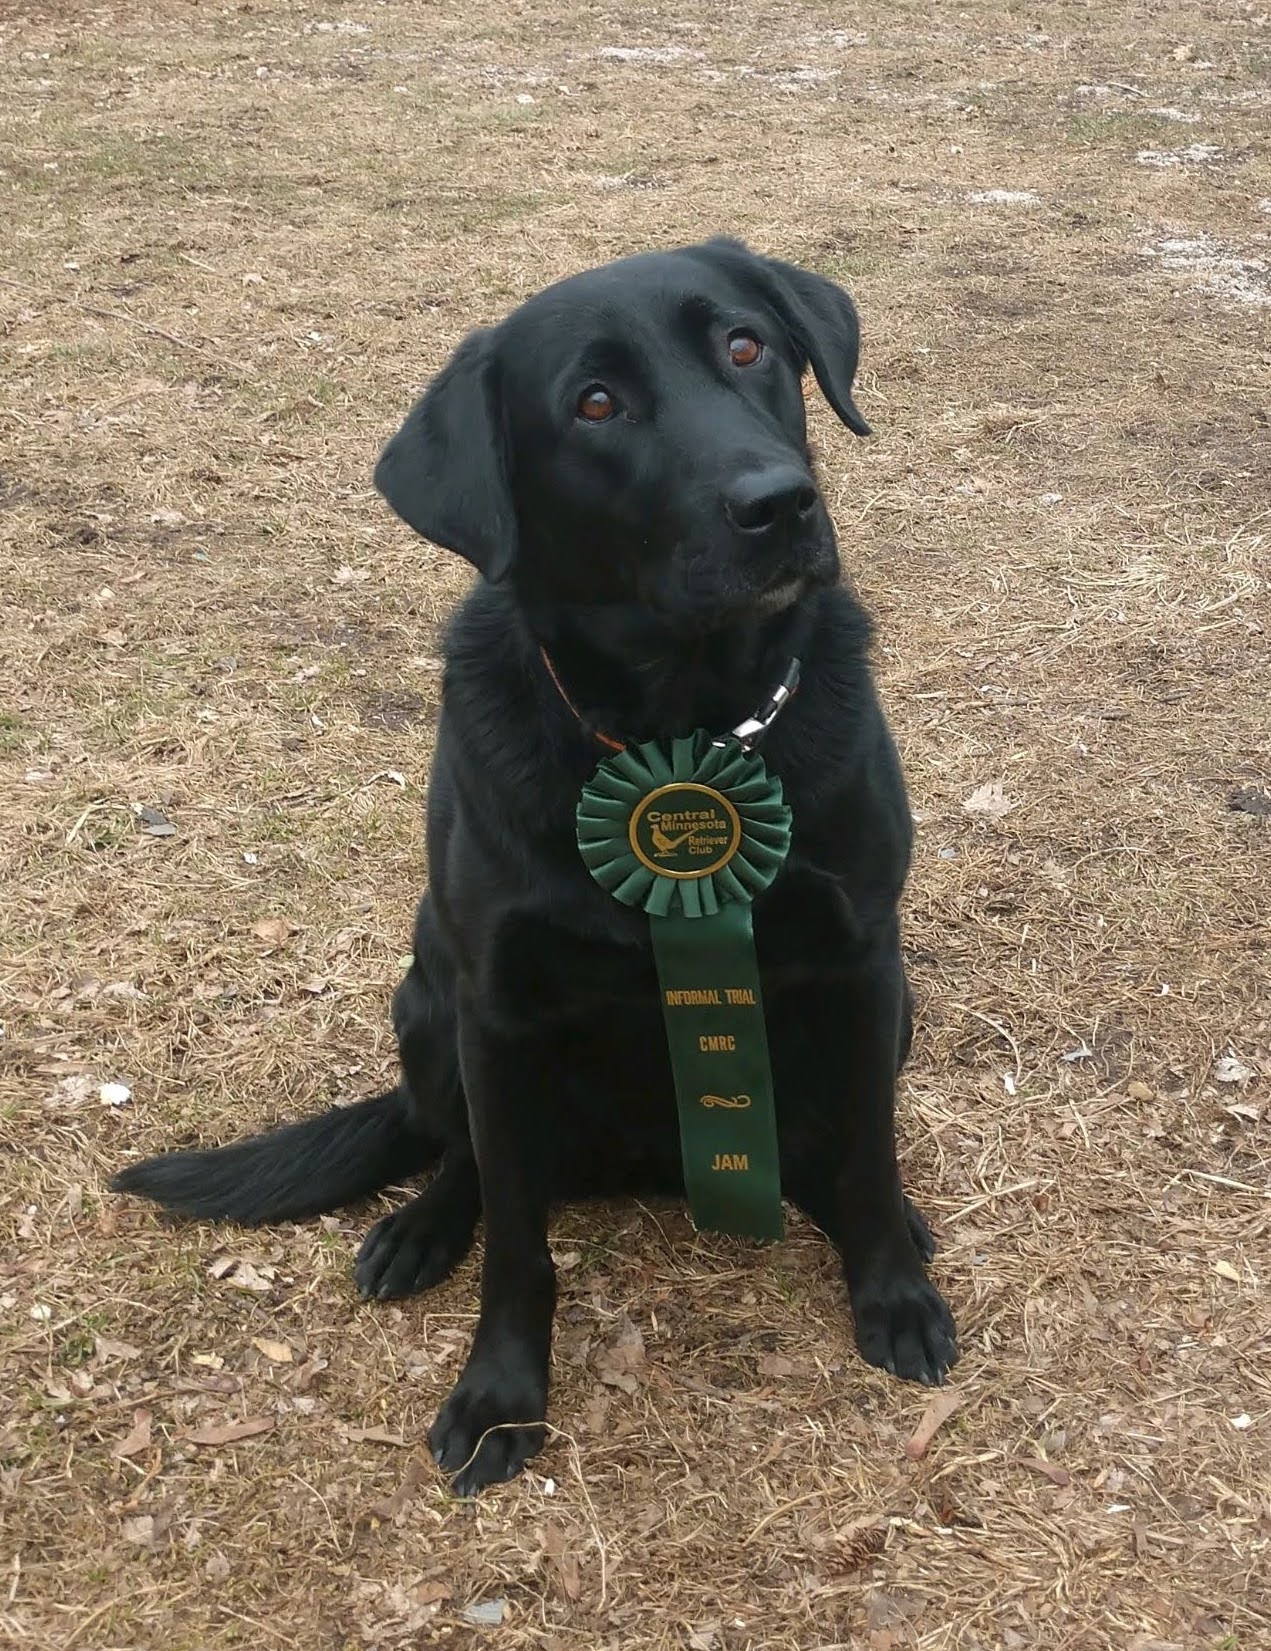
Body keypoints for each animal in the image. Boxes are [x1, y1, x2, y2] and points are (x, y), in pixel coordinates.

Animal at [116, 241, 950, 1499]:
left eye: (745, 345)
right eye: (593, 404)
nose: (780, 503)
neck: (678, 724)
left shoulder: (860, 960)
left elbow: (862, 1149)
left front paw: (890, 1281)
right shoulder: (497, 1008)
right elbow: (516, 1239)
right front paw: (499, 1395)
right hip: (426, 1001)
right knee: (457, 1152)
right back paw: (419, 1227)